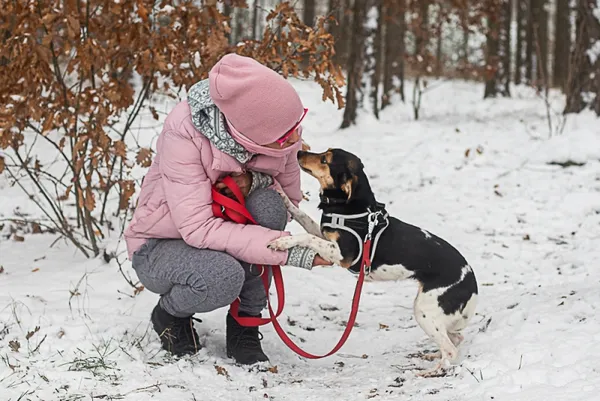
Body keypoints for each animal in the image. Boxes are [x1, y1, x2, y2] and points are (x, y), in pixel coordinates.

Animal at [268, 147, 478, 376]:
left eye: (325, 159)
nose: (298, 152)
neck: (351, 208)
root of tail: (471, 282)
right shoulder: (325, 236)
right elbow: (304, 218)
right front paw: (283, 197)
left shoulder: (341, 255)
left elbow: (307, 236)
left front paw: (282, 241)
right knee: (456, 338)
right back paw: (434, 356)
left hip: (424, 310)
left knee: (451, 349)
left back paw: (431, 371)